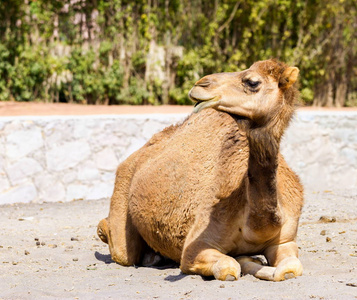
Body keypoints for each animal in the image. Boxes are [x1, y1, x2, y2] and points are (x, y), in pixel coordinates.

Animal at [96, 59, 304, 282]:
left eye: (252, 82)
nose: (200, 84)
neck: (254, 227)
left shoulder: (284, 240)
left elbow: (291, 268)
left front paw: (255, 262)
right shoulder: (196, 246)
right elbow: (228, 268)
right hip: (123, 189)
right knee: (123, 251)